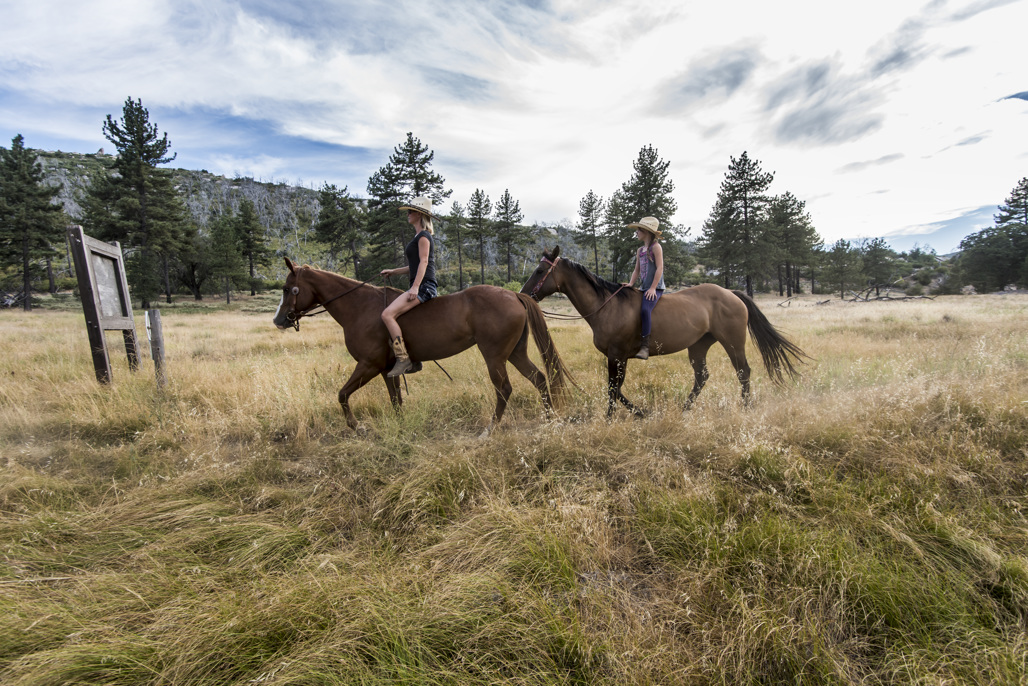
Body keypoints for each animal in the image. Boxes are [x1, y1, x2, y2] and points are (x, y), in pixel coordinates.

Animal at [273, 258, 575, 435]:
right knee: (539, 378)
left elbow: (342, 394)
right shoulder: (386, 369)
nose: (279, 320)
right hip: (514, 353)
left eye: (288, 289)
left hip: (495, 356)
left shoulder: (368, 365)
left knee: (504, 389)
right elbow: (395, 400)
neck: (359, 307)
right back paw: (549, 420)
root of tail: (513, 294)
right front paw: (401, 426)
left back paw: (490, 429)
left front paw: (356, 427)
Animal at [520, 246, 808, 418]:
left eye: (540, 270)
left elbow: (613, 388)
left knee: (743, 372)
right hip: (699, 346)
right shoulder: (619, 357)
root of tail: (731, 293)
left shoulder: (616, 355)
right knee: (702, 376)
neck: (607, 306)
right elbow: (616, 388)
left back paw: (745, 407)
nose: (523, 294)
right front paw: (639, 412)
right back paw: (685, 409)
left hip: (733, 343)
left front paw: (614, 417)